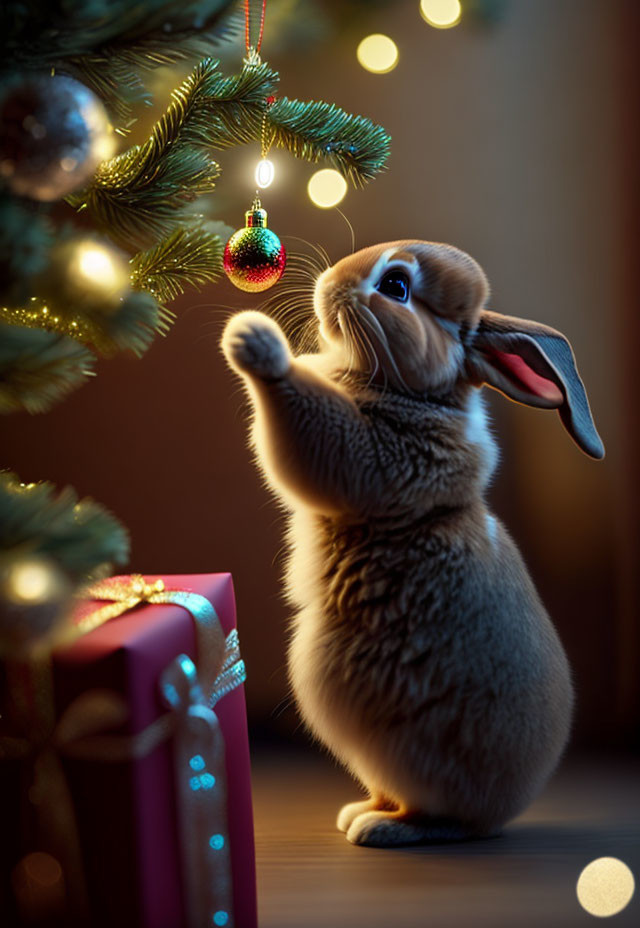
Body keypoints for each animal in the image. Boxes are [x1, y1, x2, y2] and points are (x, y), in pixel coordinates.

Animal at [221, 241, 604, 848]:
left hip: (408, 749)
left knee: (439, 816)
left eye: (396, 287)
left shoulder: (368, 454)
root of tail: (503, 810)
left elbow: (307, 419)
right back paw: (359, 813)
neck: (417, 393)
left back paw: (379, 830)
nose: (329, 282)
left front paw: (254, 341)